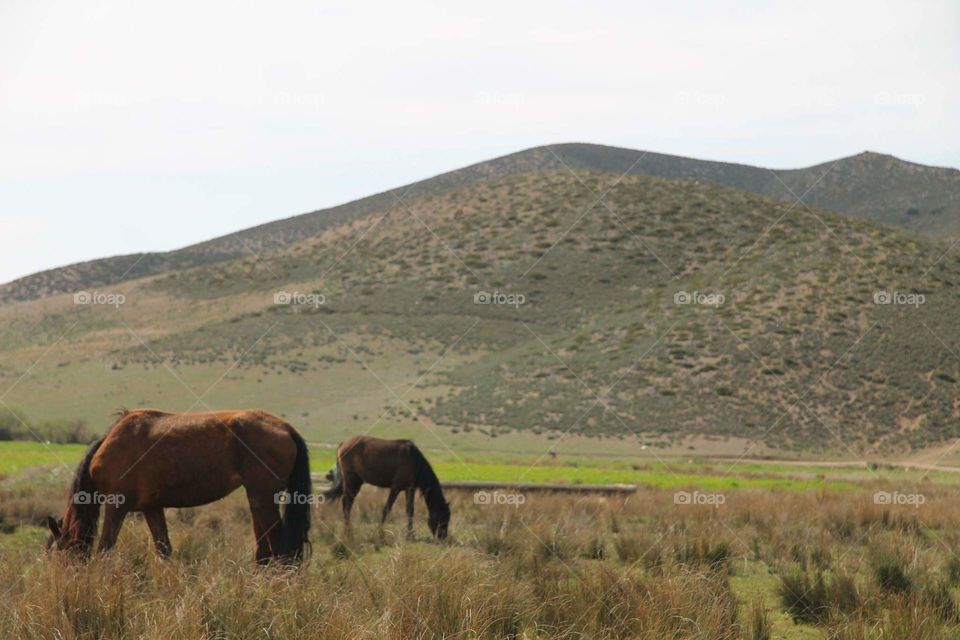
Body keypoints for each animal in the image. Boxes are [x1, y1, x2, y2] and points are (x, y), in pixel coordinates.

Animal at [45, 408, 312, 564]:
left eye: (57, 557)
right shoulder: (151, 508)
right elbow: (164, 551)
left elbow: (105, 549)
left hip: (261, 497)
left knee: (273, 548)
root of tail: (286, 428)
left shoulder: (116, 507)